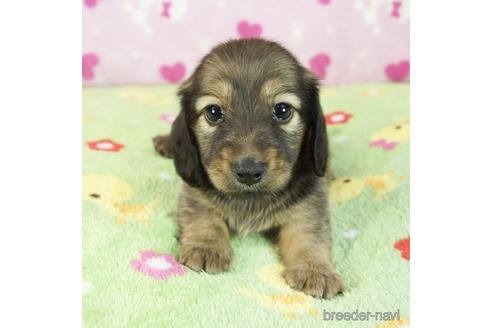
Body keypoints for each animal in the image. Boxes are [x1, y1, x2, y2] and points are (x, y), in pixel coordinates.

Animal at [153, 39, 342, 300]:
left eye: (282, 110)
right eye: (214, 112)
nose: (249, 172)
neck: (250, 198)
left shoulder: (310, 203)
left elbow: (309, 236)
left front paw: (315, 270)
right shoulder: (193, 193)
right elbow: (203, 217)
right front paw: (206, 246)